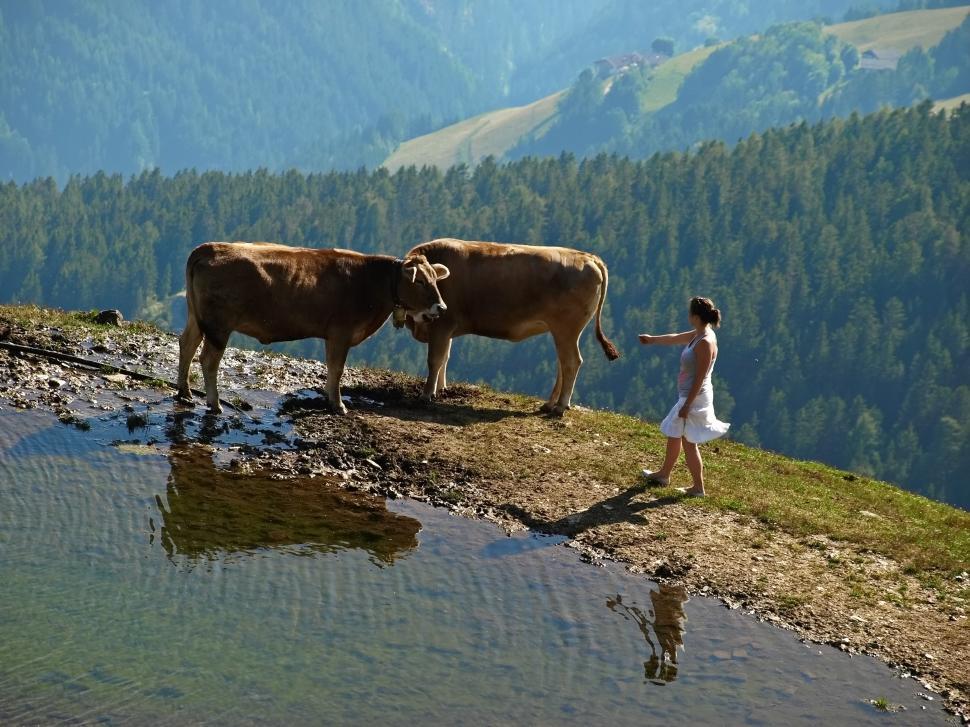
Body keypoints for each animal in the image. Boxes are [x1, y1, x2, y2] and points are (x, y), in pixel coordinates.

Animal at [176, 242, 449, 414]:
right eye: (420, 281)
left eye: (435, 280)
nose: (441, 307)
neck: (372, 283)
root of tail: (208, 248)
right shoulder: (341, 332)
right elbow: (338, 369)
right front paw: (338, 405)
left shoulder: (333, 335)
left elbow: (331, 368)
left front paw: (329, 397)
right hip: (219, 326)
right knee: (208, 359)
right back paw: (214, 403)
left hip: (196, 317)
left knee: (187, 345)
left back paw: (185, 392)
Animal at [404, 238, 620, 415]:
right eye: (420, 281)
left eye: (429, 280)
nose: (439, 304)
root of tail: (589, 257)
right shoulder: (446, 330)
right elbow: (445, 359)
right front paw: (441, 389)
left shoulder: (442, 324)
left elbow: (435, 360)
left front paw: (427, 394)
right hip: (562, 331)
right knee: (563, 363)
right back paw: (550, 404)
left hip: (567, 329)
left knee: (572, 362)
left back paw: (560, 406)